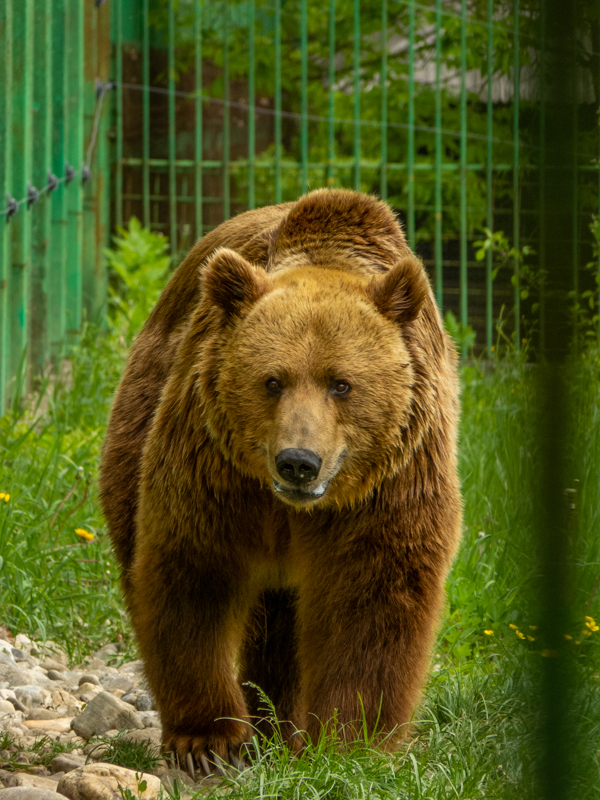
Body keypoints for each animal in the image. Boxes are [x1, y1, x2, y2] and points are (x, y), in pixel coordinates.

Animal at [99, 188, 462, 776]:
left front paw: (350, 741)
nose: (298, 462)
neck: (292, 508)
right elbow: (192, 576)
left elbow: (373, 599)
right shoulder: (215, 471)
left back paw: (280, 725)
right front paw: (209, 740)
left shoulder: (387, 487)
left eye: (342, 383)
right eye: (272, 380)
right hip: (140, 413)